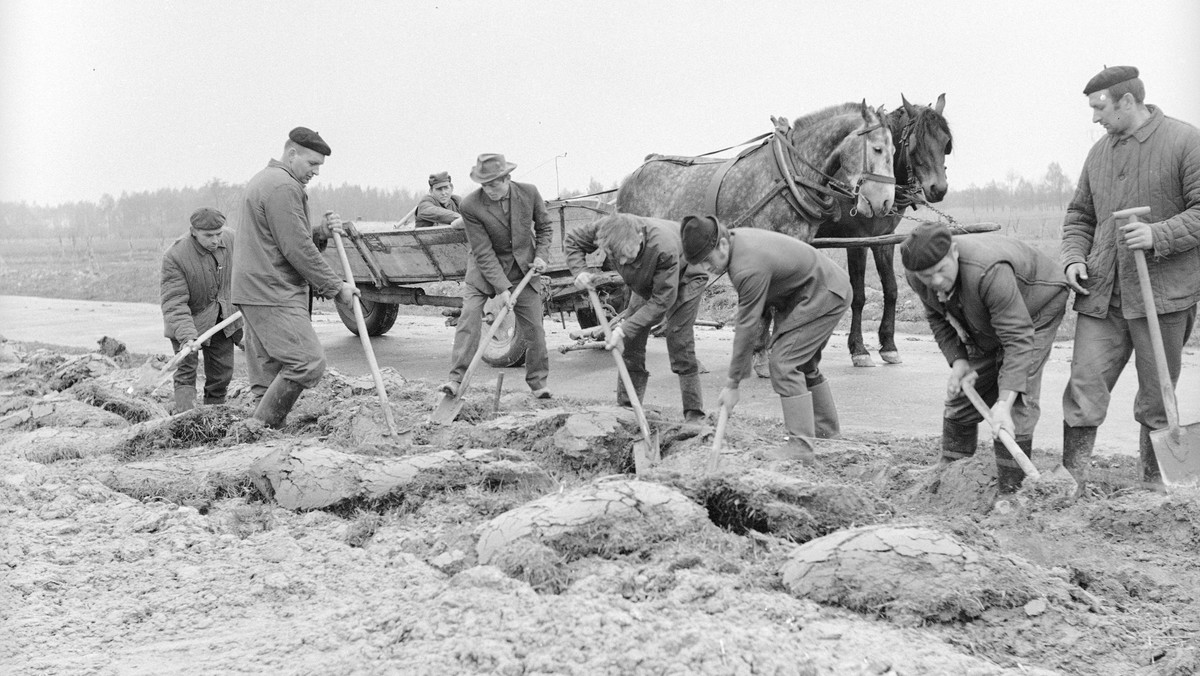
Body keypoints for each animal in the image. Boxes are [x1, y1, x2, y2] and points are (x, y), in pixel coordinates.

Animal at [811, 93, 950, 367]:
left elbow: (891, 289)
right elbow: (859, 294)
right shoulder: (858, 241)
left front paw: (889, 345)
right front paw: (859, 349)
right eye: (915, 143)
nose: (938, 189)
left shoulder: (883, 239)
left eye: (946, 143)